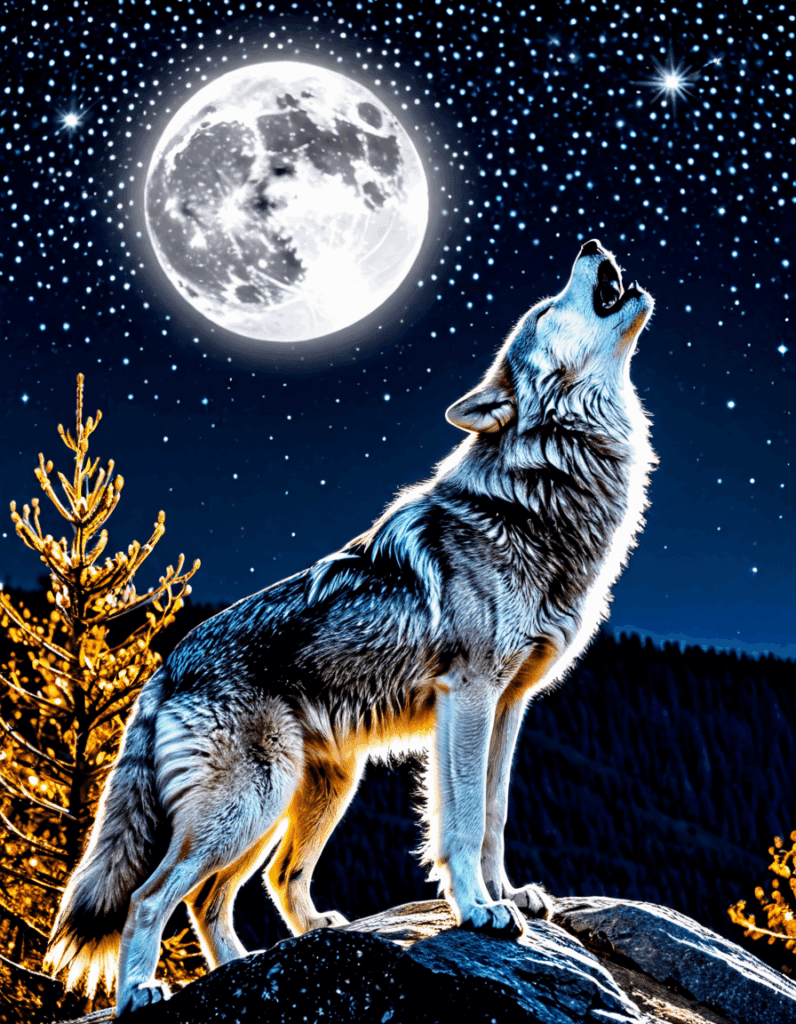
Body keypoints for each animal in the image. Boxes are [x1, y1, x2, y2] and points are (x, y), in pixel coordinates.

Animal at [45, 239, 656, 1015]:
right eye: (548, 308)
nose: (590, 245)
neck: (542, 493)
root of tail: (164, 667)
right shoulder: (469, 697)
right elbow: (460, 821)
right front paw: (479, 910)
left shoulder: (510, 706)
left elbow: (493, 817)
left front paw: (510, 894)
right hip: (250, 805)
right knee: (152, 899)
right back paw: (141, 993)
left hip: (307, 794)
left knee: (242, 891)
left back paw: (256, 965)